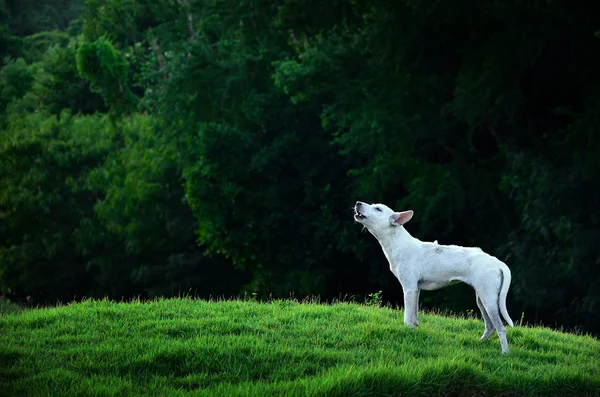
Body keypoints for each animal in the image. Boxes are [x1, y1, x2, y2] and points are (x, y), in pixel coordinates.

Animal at [354, 201, 512, 352]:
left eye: (378, 209)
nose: (357, 203)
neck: (398, 243)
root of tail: (497, 262)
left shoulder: (409, 289)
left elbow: (407, 316)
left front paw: (406, 332)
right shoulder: (416, 290)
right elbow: (414, 316)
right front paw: (413, 330)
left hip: (489, 300)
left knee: (501, 328)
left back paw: (505, 353)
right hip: (481, 300)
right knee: (490, 327)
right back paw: (479, 344)